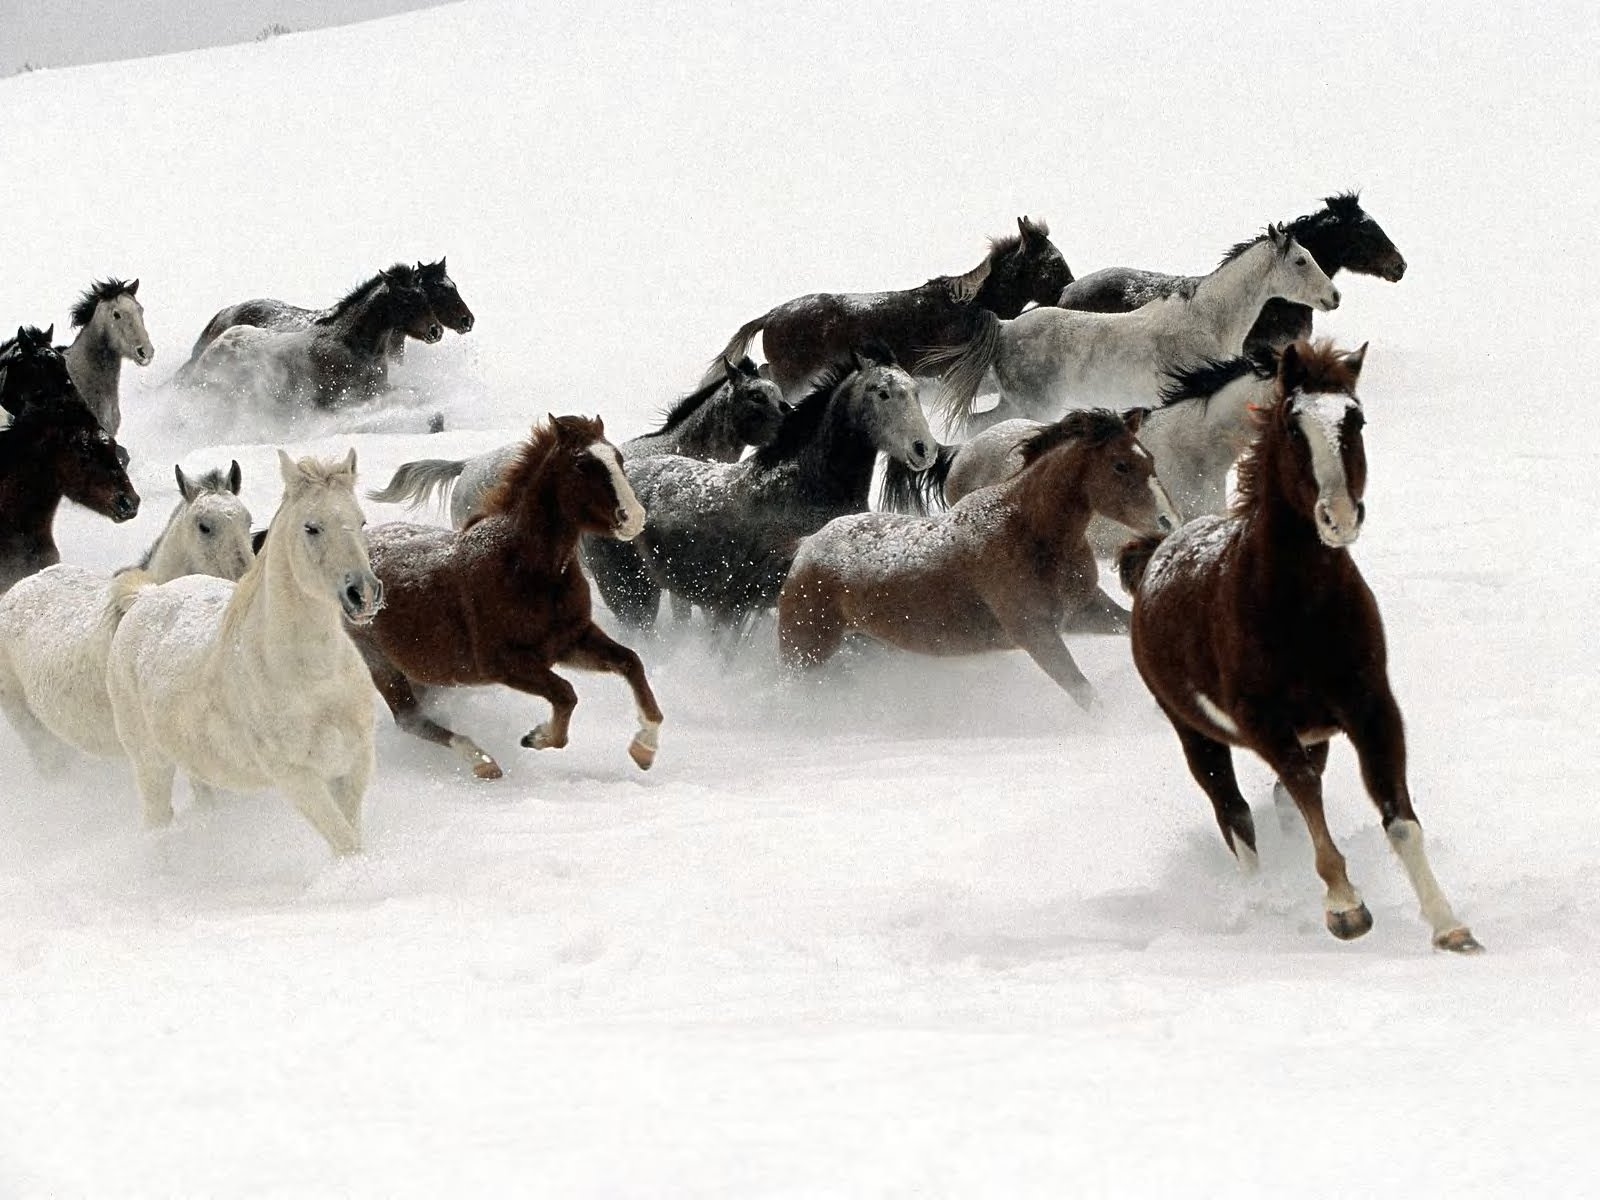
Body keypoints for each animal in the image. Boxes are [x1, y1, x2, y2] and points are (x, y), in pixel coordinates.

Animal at [105, 450, 383, 855]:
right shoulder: (297, 777)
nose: (363, 593)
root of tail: (145, 596)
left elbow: (352, 836)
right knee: (157, 820)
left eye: (361, 521)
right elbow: (347, 845)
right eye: (311, 528)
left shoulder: (354, 764)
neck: (314, 678)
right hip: (150, 763)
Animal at [347, 415, 661, 781]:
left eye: (618, 459)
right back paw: (482, 761)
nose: (634, 517)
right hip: (381, 664)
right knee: (410, 719)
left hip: (424, 672)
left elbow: (630, 662)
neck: (526, 569)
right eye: (583, 464)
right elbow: (566, 695)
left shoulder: (571, 641)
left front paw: (644, 748)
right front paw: (538, 738)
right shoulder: (504, 663)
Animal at [780, 408, 1179, 705]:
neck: (1029, 530)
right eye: (1120, 465)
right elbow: (1085, 694)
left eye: (1150, 459)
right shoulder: (1035, 632)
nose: (1168, 521)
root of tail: (807, 547)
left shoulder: (1084, 611)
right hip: (804, 652)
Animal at [1117, 340, 1480, 953]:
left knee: (1278, 805)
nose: (1339, 517)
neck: (1301, 610)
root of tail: (1154, 552)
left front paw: (1449, 925)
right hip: (1195, 733)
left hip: (1314, 734)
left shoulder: (1371, 708)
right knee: (1235, 815)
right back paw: (1264, 902)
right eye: (1292, 426)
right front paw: (1346, 908)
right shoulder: (1264, 723)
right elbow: (1305, 795)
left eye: (1355, 419)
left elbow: (1398, 815)